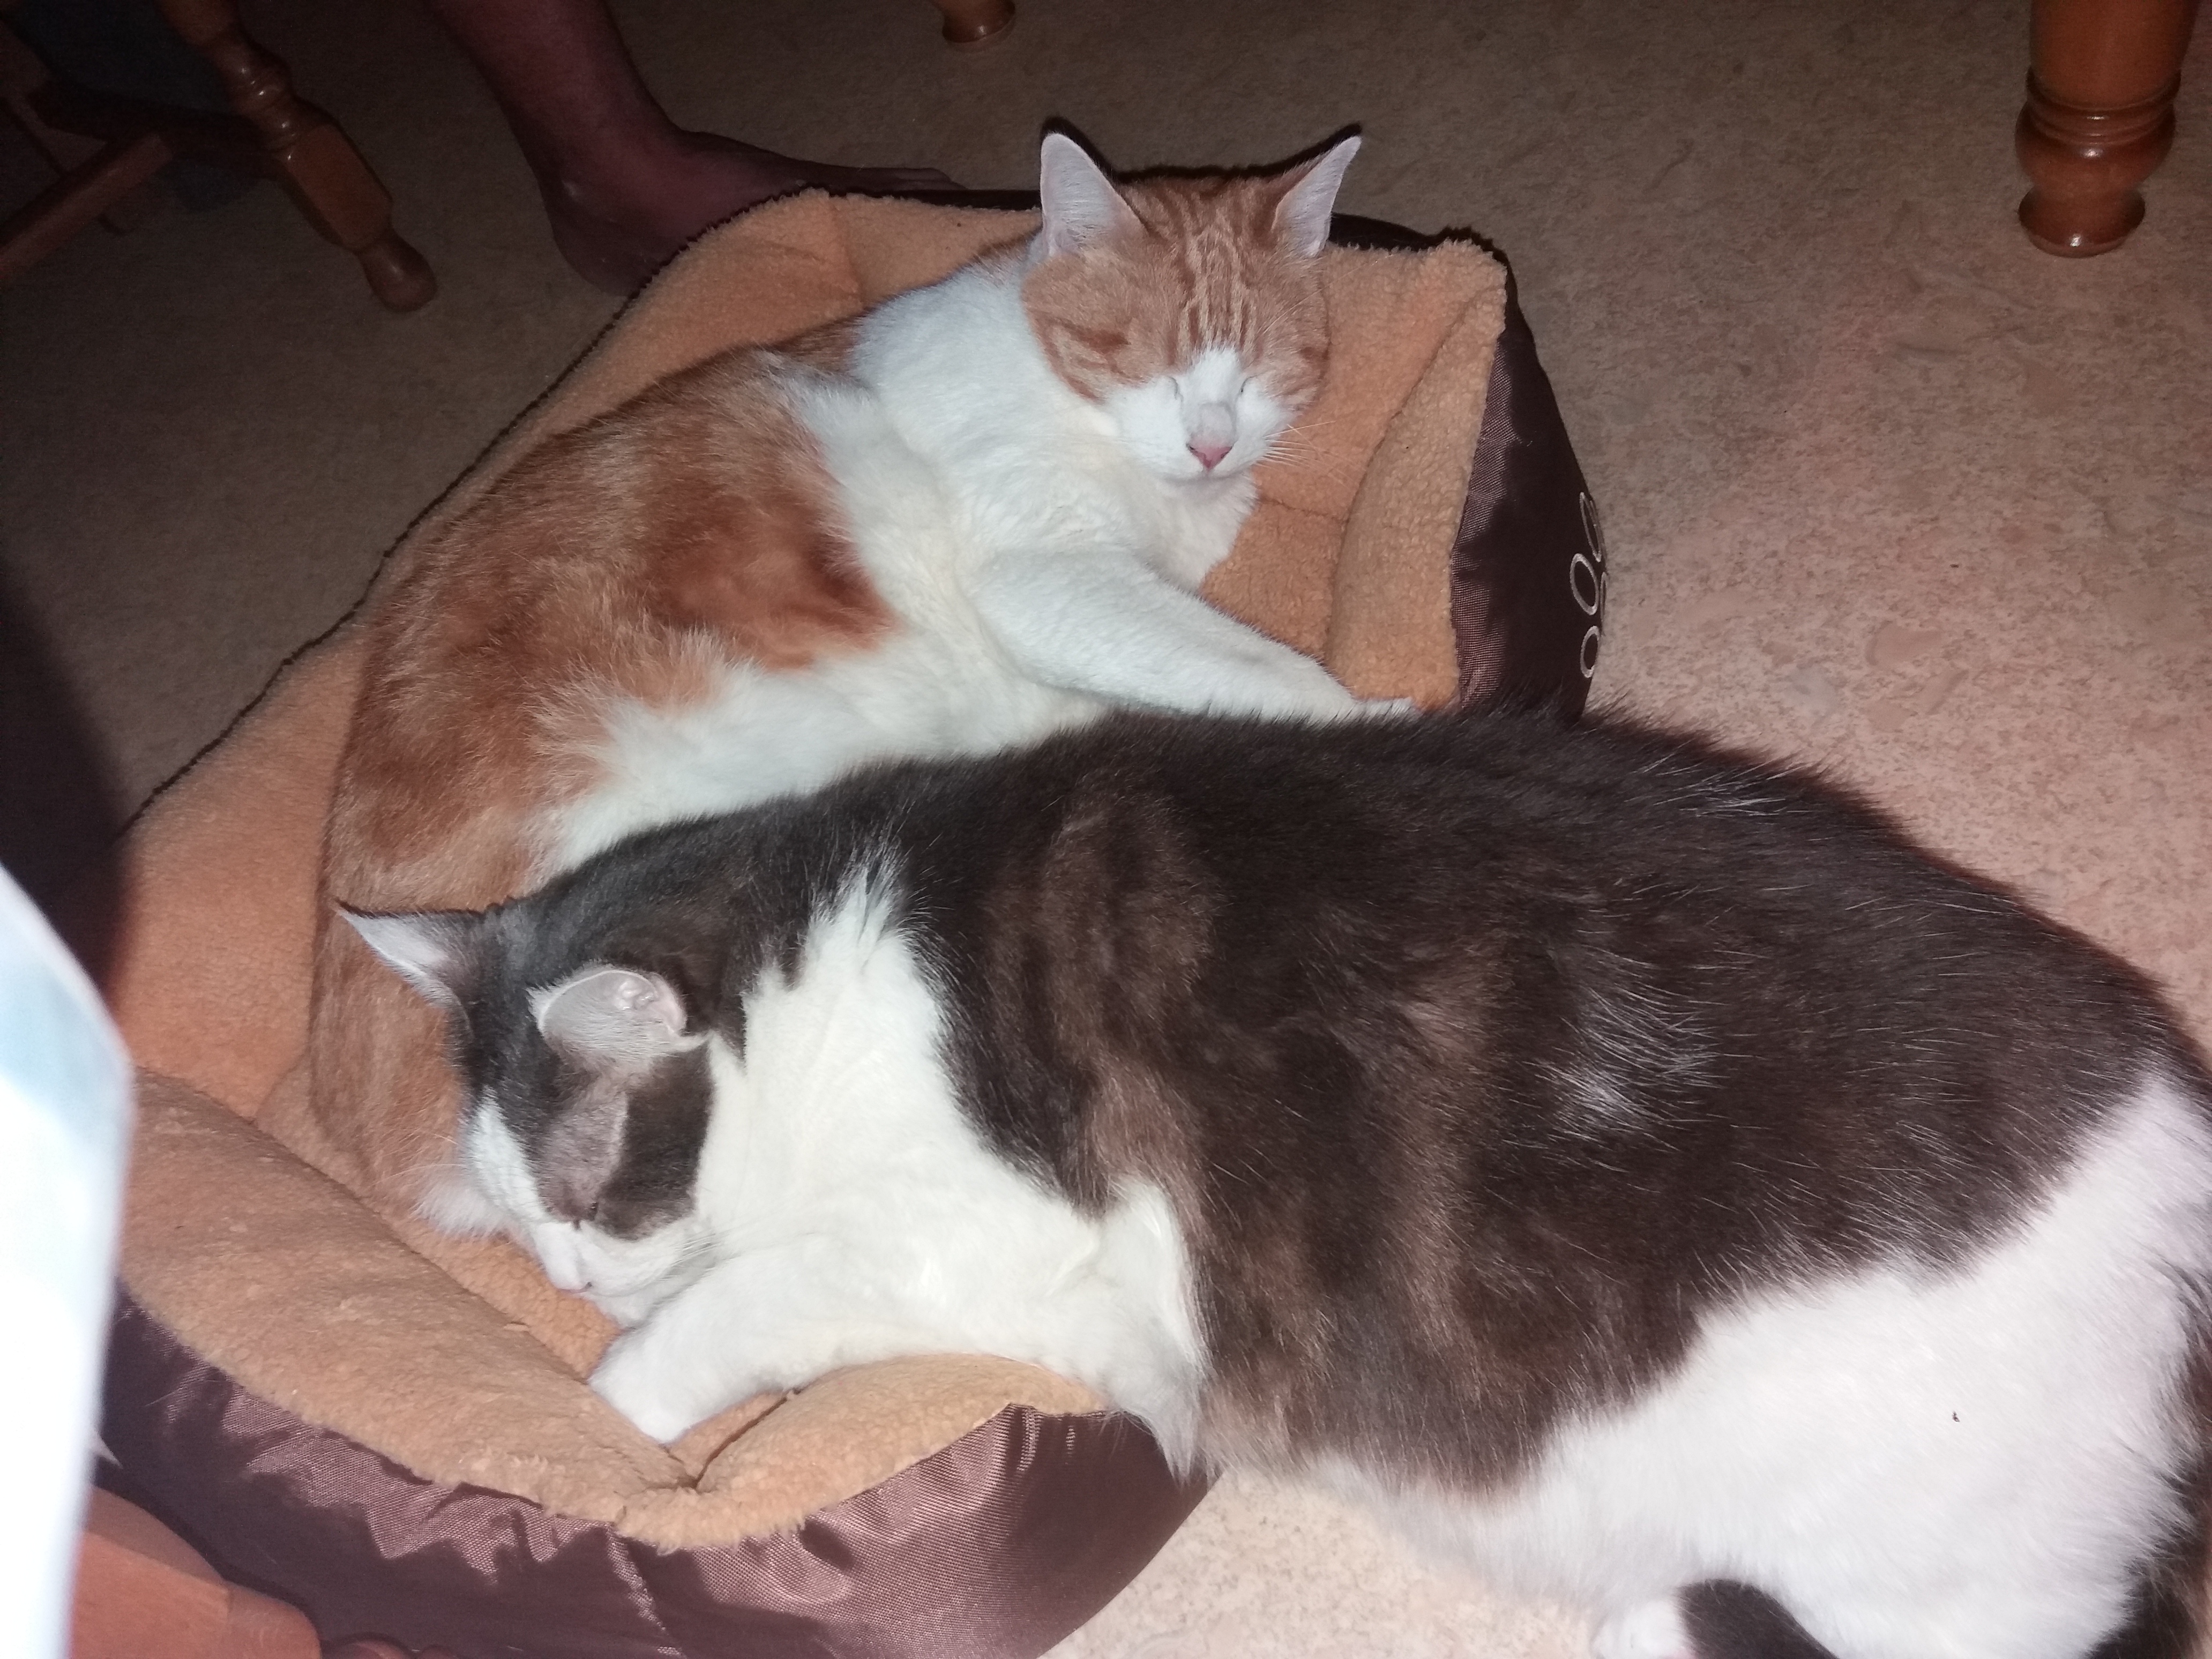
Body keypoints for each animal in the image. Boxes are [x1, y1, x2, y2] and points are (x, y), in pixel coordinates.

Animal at [352, 703, 2212, 1659]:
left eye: (594, 1195)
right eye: (530, 1223)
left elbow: (735, 1308)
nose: (566, 1279)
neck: (832, 955)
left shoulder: (974, 1227)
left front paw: (613, 1414)